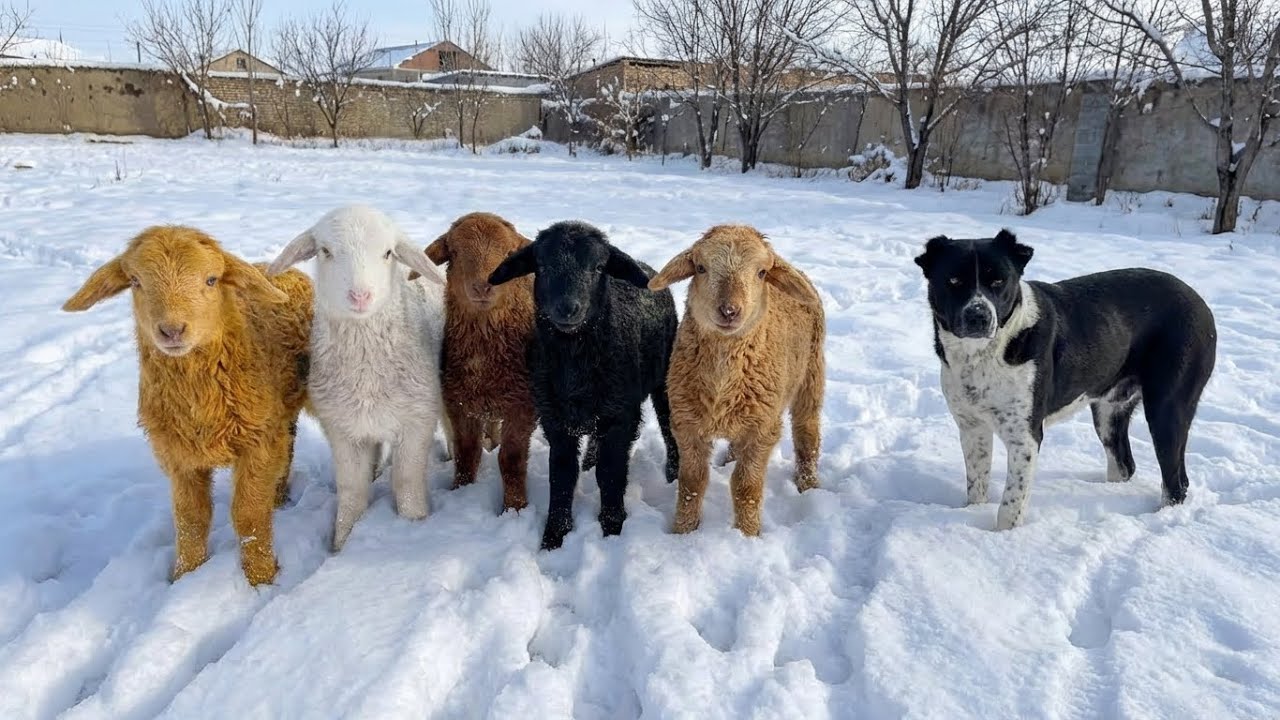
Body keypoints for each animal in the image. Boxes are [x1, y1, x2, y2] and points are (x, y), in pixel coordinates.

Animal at [61, 226, 313, 586]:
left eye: (211, 279)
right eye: (135, 281)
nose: (172, 330)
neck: (201, 408)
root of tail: (274, 267)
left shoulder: (259, 442)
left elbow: (248, 515)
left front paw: (261, 579)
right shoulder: (179, 456)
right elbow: (191, 520)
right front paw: (185, 576)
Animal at [268, 205, 447, 552]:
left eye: (388, 253)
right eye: (325, 251)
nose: (360, 295)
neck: (366, 370)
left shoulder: (416, 422)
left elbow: (407, 484)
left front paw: (413, 526)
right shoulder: (343, 430)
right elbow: (353, 492)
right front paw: (342, 543)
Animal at [413, 212, 539, 512]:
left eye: (508, 254)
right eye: (455, 253)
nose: (483, 285)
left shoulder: (523, 405)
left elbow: (511, 460)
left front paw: (515, 507)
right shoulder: (459, 404)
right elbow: (467, 453)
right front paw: (461, 491)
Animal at [489, 220, 679, 550]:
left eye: (599, 267)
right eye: (542, 265)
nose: (568, 308)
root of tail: (647, 267)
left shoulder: (620, 416)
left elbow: (611, 473)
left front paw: (612, 528)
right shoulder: (555, 419)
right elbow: (562, 475)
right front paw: (553, 538)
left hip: (664, 380)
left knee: (669, 428)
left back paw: (673, 475)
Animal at [648, 224, 825, 536]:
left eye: (762, 272)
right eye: (701, 267)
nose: (730, 311)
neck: (723, 383)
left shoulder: (762, 430)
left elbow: (746, 489)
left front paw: (747, 535)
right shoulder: (687, 425)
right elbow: (691, 485)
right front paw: (683, 532)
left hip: (810, 377)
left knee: (807, 434)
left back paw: (808, 484)